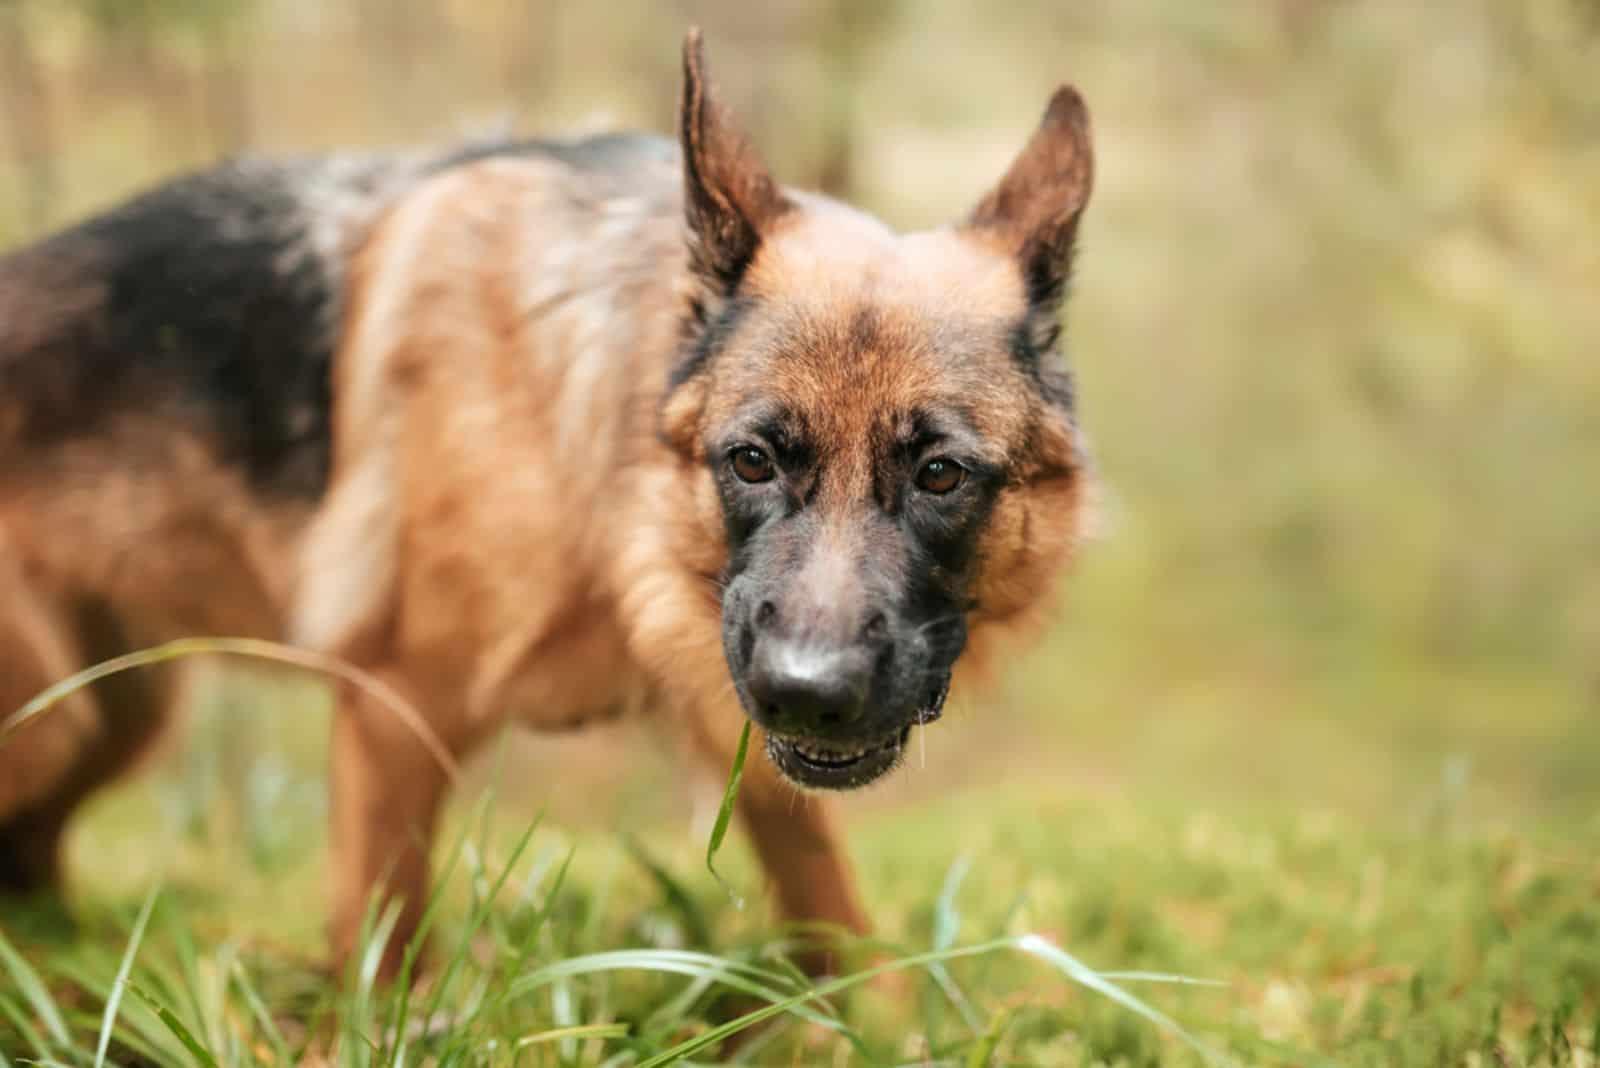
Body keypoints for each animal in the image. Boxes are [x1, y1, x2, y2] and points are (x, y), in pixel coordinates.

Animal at [0, 29, 1094, 972]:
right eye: (750, 463)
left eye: (940, 475)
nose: (807, 692)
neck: (603, 495)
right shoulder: (392, 715)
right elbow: (382, 961)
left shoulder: (736, 723)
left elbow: (838, 920)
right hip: (50, 728)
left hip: (104, 724)